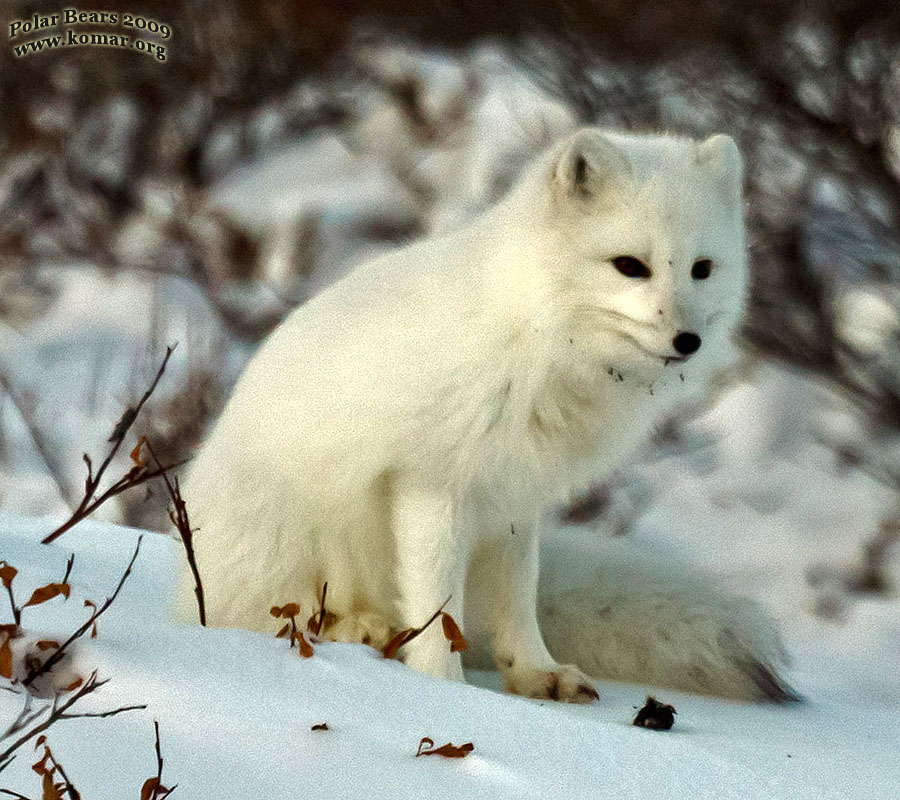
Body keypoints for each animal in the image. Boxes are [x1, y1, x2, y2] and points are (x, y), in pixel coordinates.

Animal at [181, 128, 796, 704]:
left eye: (702, 269)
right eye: (630, 267)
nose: (688, 341)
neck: (534, 341)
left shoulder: (517, 495)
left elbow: (519, 598)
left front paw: (535, 672)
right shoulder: (431, 485)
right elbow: (436, 603)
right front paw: (442, 685)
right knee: (269, 618)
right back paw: (354, 629)